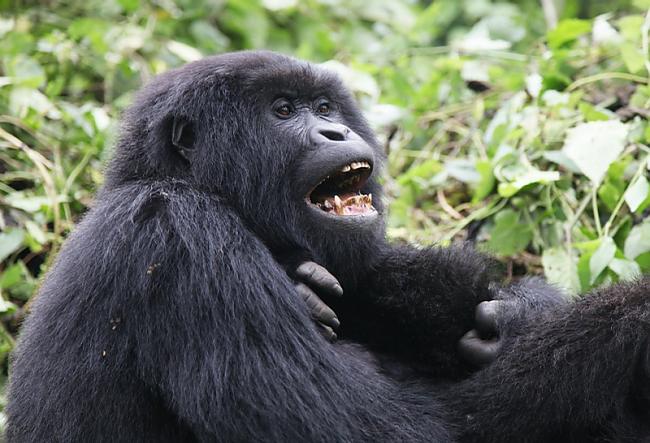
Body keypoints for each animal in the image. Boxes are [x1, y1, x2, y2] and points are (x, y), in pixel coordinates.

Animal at [6, 52, 648, 443]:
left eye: (325, 108)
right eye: (283, 110)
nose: (336, 131)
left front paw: (522, 310)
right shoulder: (177, 233)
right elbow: (419, 429)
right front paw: (630, 327)